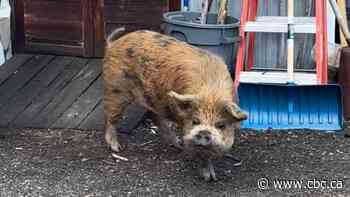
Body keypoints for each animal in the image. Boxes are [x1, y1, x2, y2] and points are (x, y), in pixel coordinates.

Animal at [102, 27, 247, 182]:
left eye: (221, 125)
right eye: (195, 121)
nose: (203, 132)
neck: (211, 94)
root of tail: (113, 44)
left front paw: (212, 177)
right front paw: (208, 177)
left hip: (152, 99)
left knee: (155, 117)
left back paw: (178, 144)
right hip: (116, 90)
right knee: (111, 119)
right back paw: (117, 148)